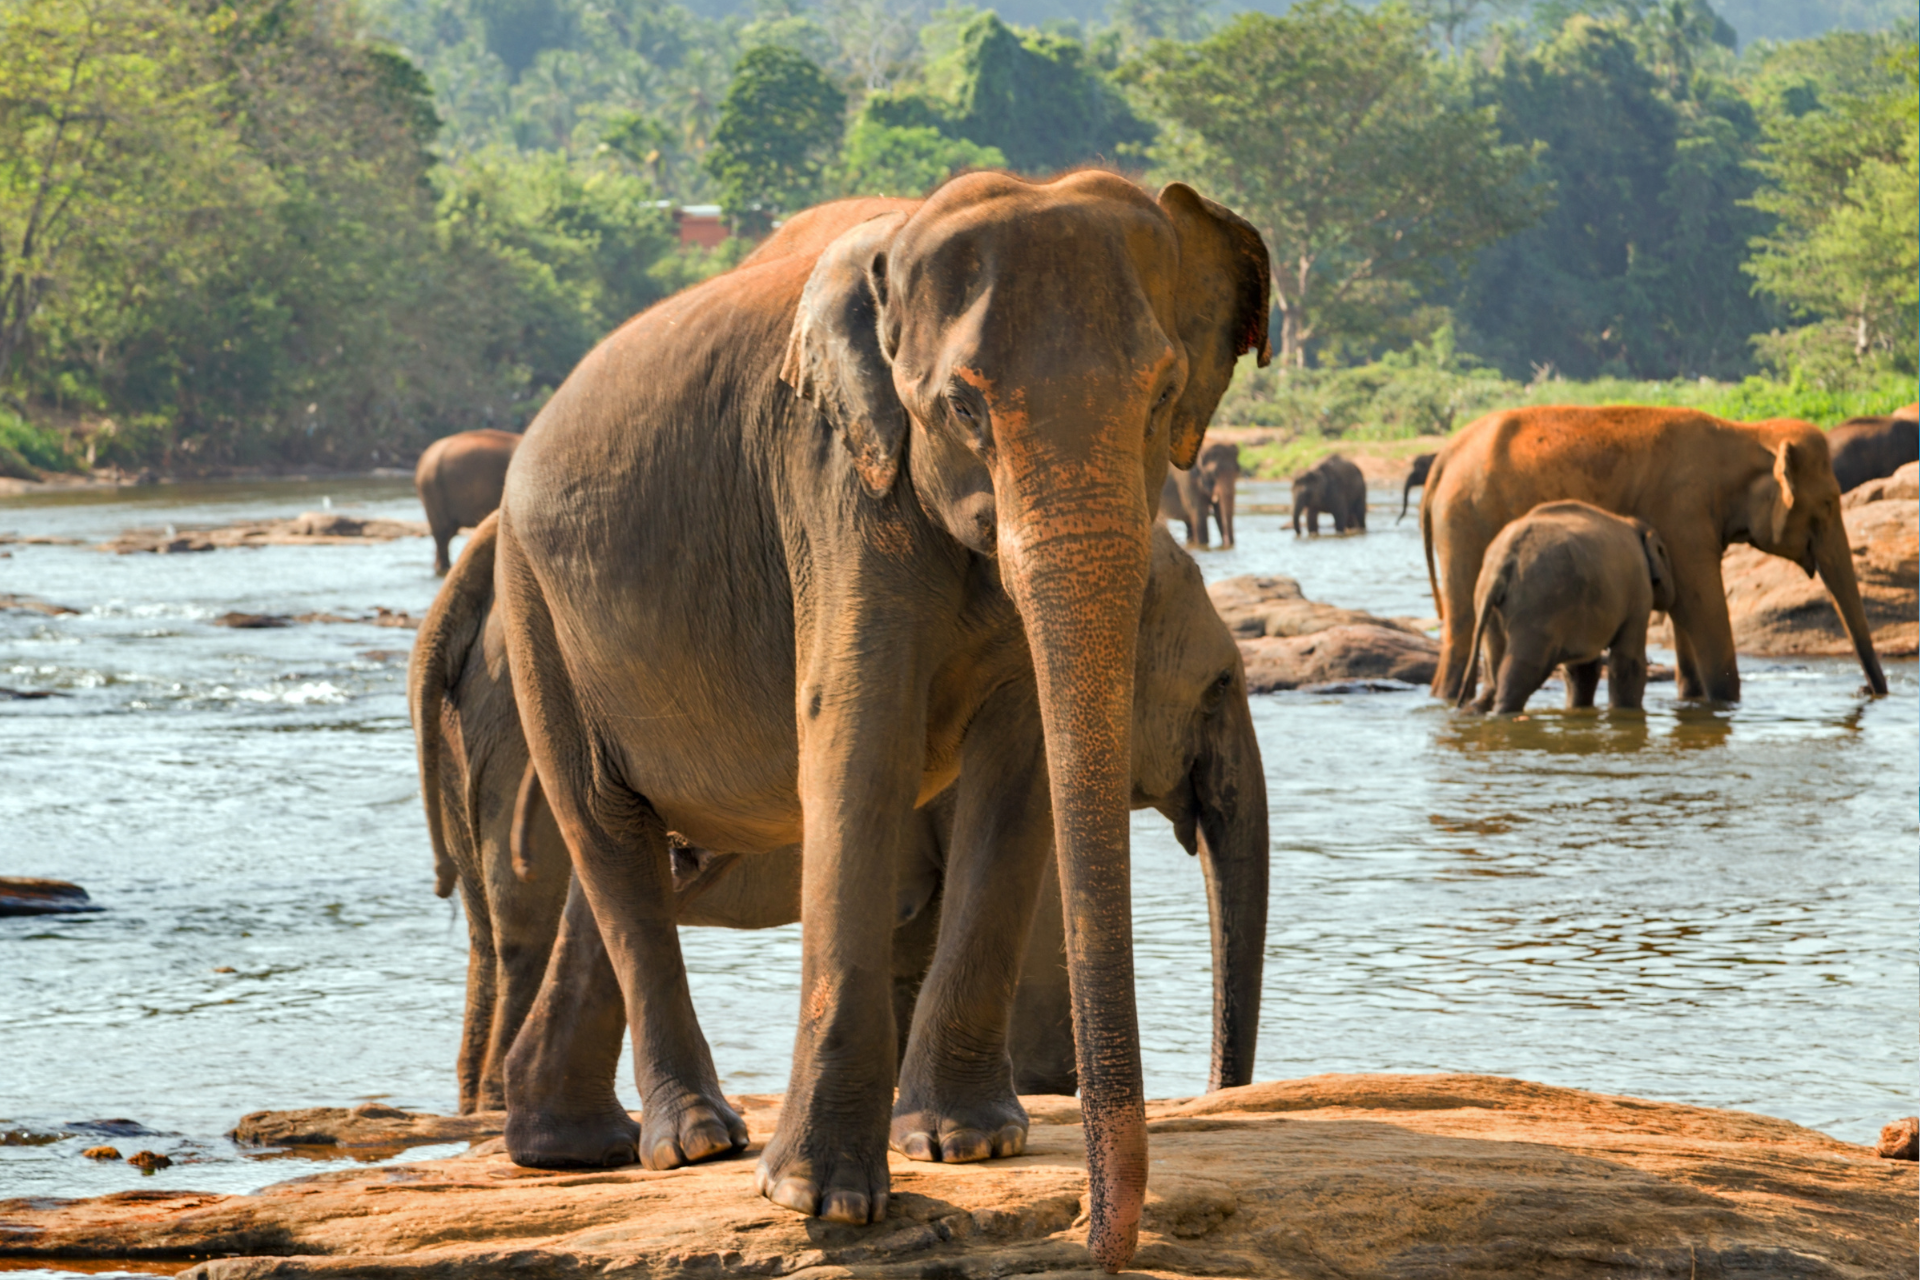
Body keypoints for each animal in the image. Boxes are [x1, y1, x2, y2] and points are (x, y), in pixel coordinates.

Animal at [1451, 498, 1681, 717]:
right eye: (1664, 553)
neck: (1633, 524)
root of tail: (1502, 562)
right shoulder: (1639, 592)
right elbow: (1627, 662)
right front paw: (1626, 712)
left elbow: (1581, 668)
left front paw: (1578, 709)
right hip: (1538, 604)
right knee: (1525, 668)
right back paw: (1503, 714)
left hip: (1489, 605)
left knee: (1493, 669)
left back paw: (1471, 712)